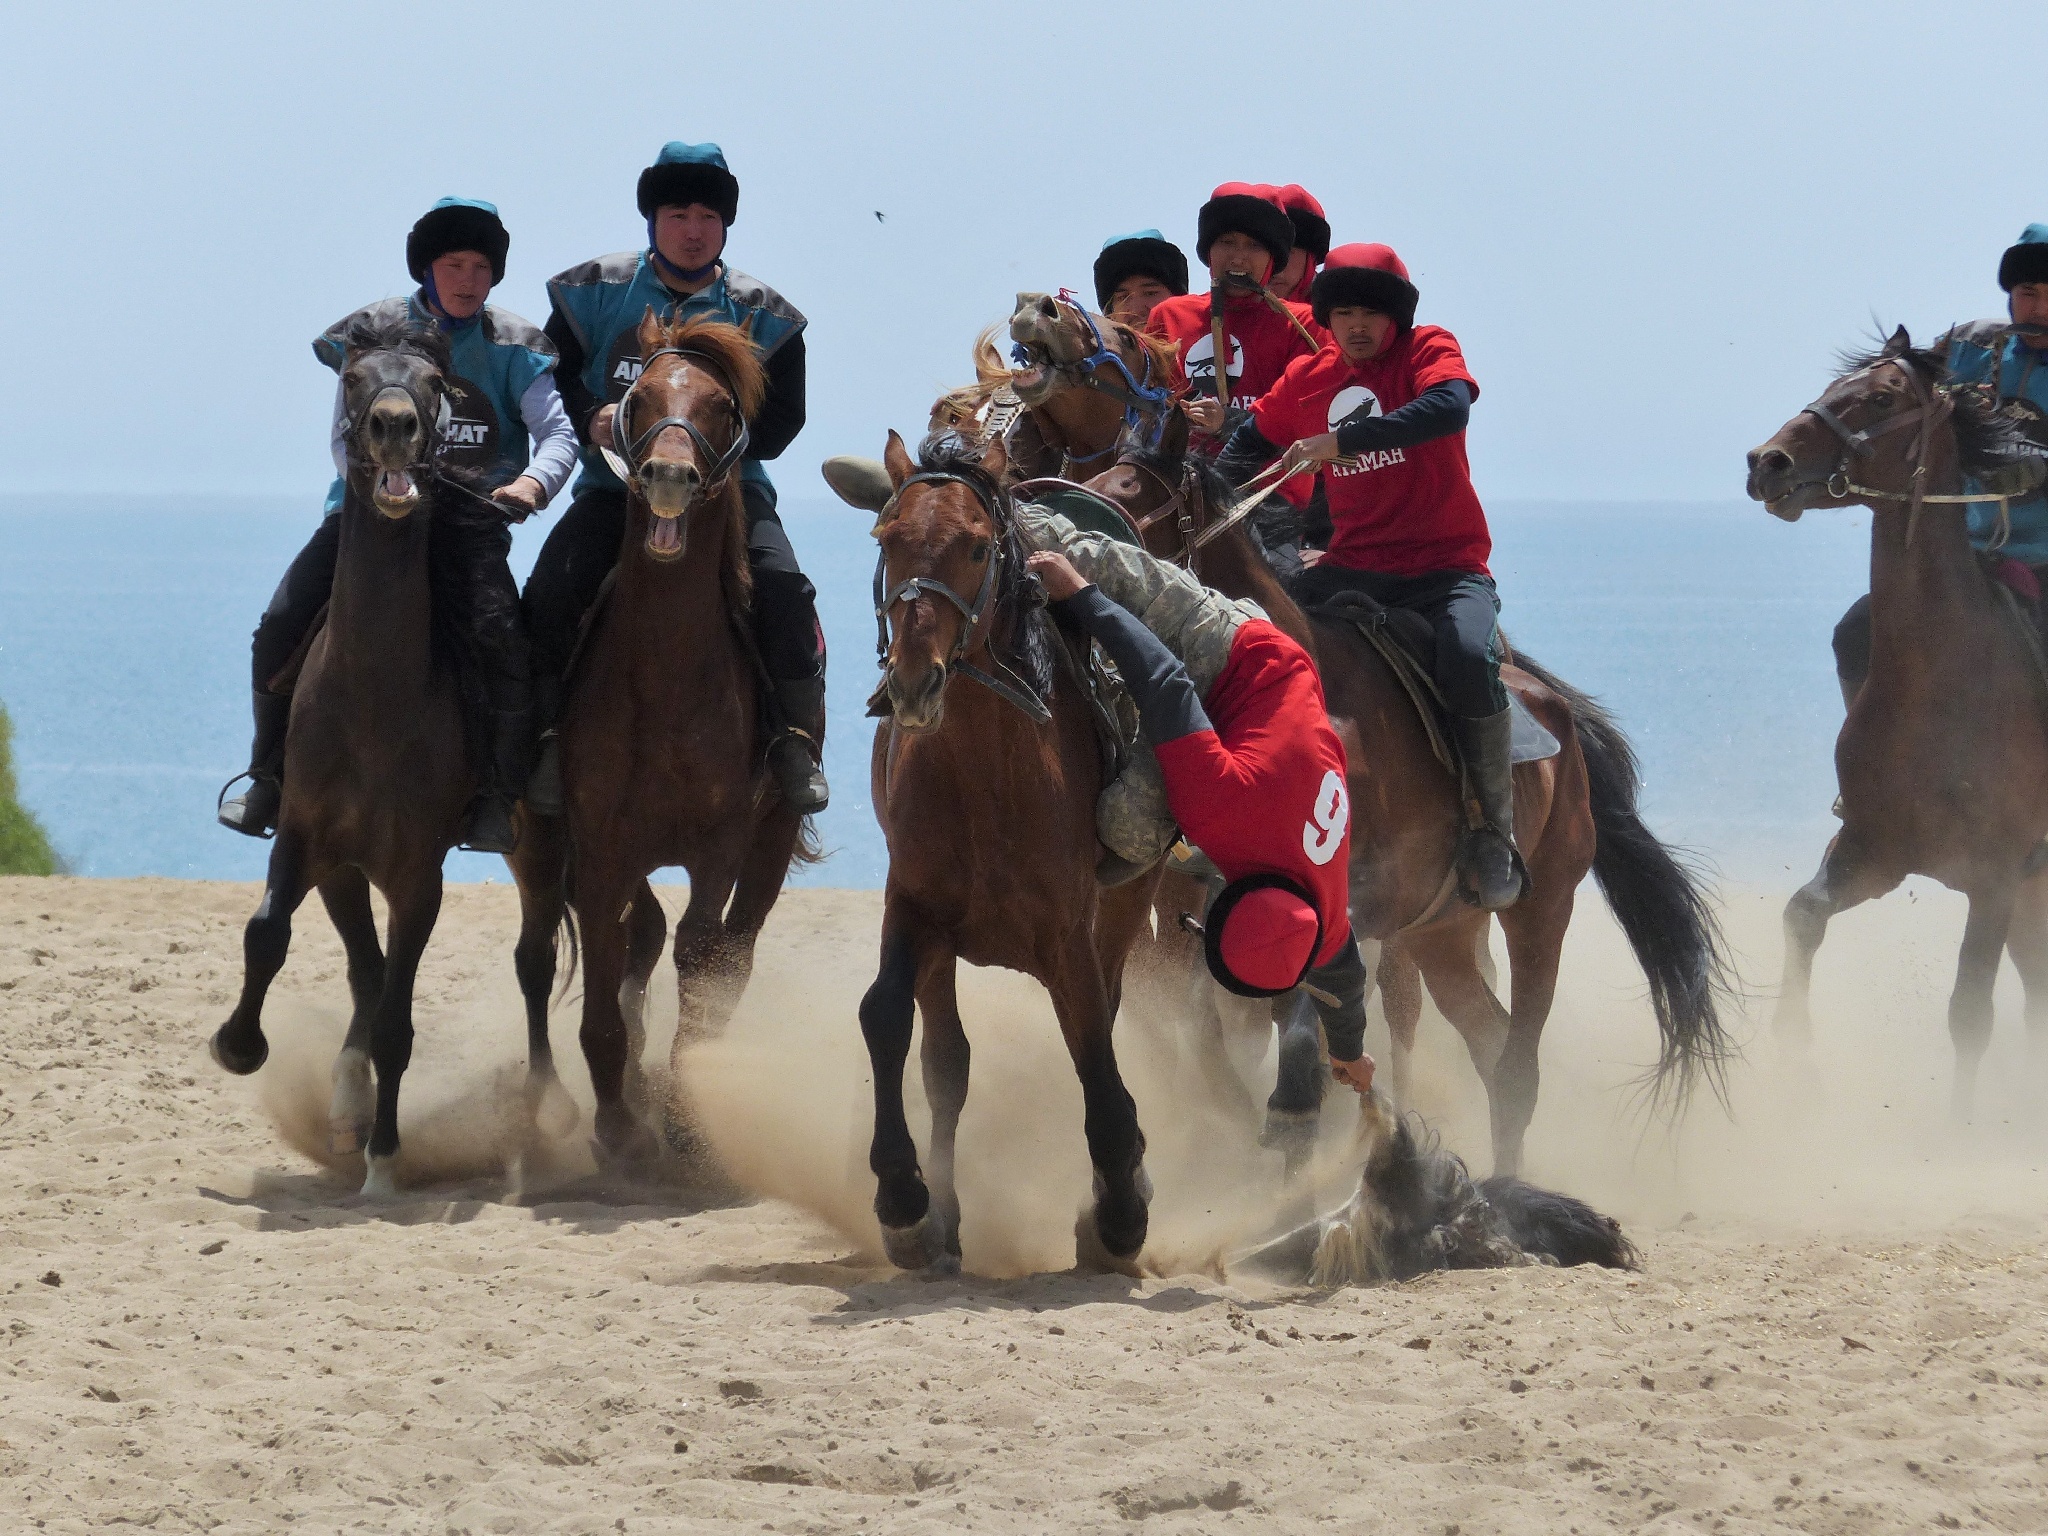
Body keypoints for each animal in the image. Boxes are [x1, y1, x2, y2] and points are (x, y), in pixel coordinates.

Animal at [207, 315, 487, 1204]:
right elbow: (266, 933)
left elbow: (399, 1018)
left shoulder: (417, 875)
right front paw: (239, 1045)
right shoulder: (306, 836)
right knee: (363, 971)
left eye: (434, 386)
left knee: (378, 980)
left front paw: (385, 1164)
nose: (393, 426)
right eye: (355, 378)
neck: (374, 695)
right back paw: (342, 1104)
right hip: (340, 870)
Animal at [505, 321, 815, 1163]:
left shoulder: (719, 847)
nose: (670, 474)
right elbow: (607, 979)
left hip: (771, 840)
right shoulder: (604, 846)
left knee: (730, 950)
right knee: (582, 945)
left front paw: (683, 1113)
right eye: (638, 396)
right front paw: (618, 1119)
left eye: (720, 404)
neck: (670, 673)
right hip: (550, 846)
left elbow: (701, 958)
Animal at [851, 423, 1171, 1277]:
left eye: (973, 545)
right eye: (887, 538)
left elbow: (1094, 1050)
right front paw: (904, 1196)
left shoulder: (1067, 931)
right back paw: (944, 1215)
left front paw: (1119, 1207)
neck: (986, 774)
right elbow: (888, 1019)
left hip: (1126, 901)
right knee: (947, 1061)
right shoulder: (913, 908)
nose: (916, 682)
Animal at [1073, 409, 1728, 1179]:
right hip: (1442, 933)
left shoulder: (1350, 900)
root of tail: (1557, 713)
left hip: (1543, 908)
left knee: (1517, 1065)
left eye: (1126, 497)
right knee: (1488, 1042)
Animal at [1744, 327, 2048, 1122]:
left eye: (1881, 399)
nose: (1767, 463)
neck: (1940, 686)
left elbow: (1969, 1011)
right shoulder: (1874, 850)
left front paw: (1957, 1131)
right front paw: (1795, 1058)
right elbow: (1803, 915)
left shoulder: (1994, 876)